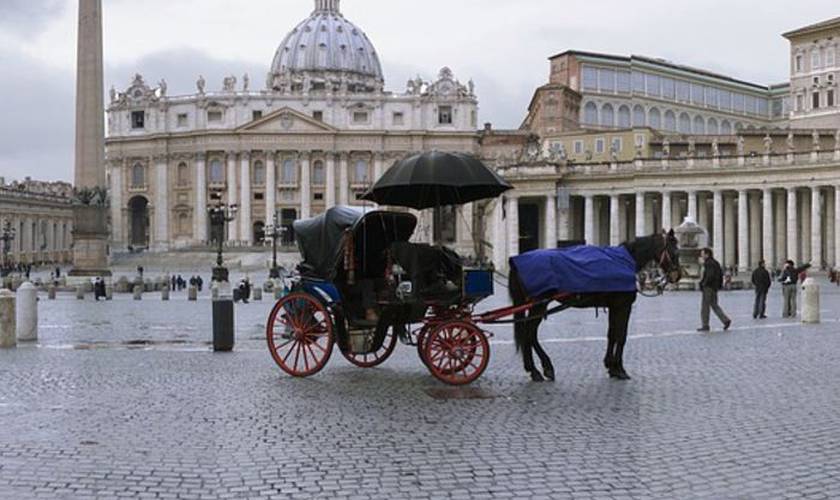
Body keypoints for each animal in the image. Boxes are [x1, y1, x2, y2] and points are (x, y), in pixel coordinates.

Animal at [506, 231, 684, 382]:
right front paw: (620, 369)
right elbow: (621, 336)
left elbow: (611, 334)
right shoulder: (623, 305)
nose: (677, 276)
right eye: (675, 251)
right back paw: (540, 369)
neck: (626, 262)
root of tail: (516, 262)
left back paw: (536, 369)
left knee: (528, 333)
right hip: (539, 304)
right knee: (529, 334)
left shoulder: (614, 306)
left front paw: (611, 366)